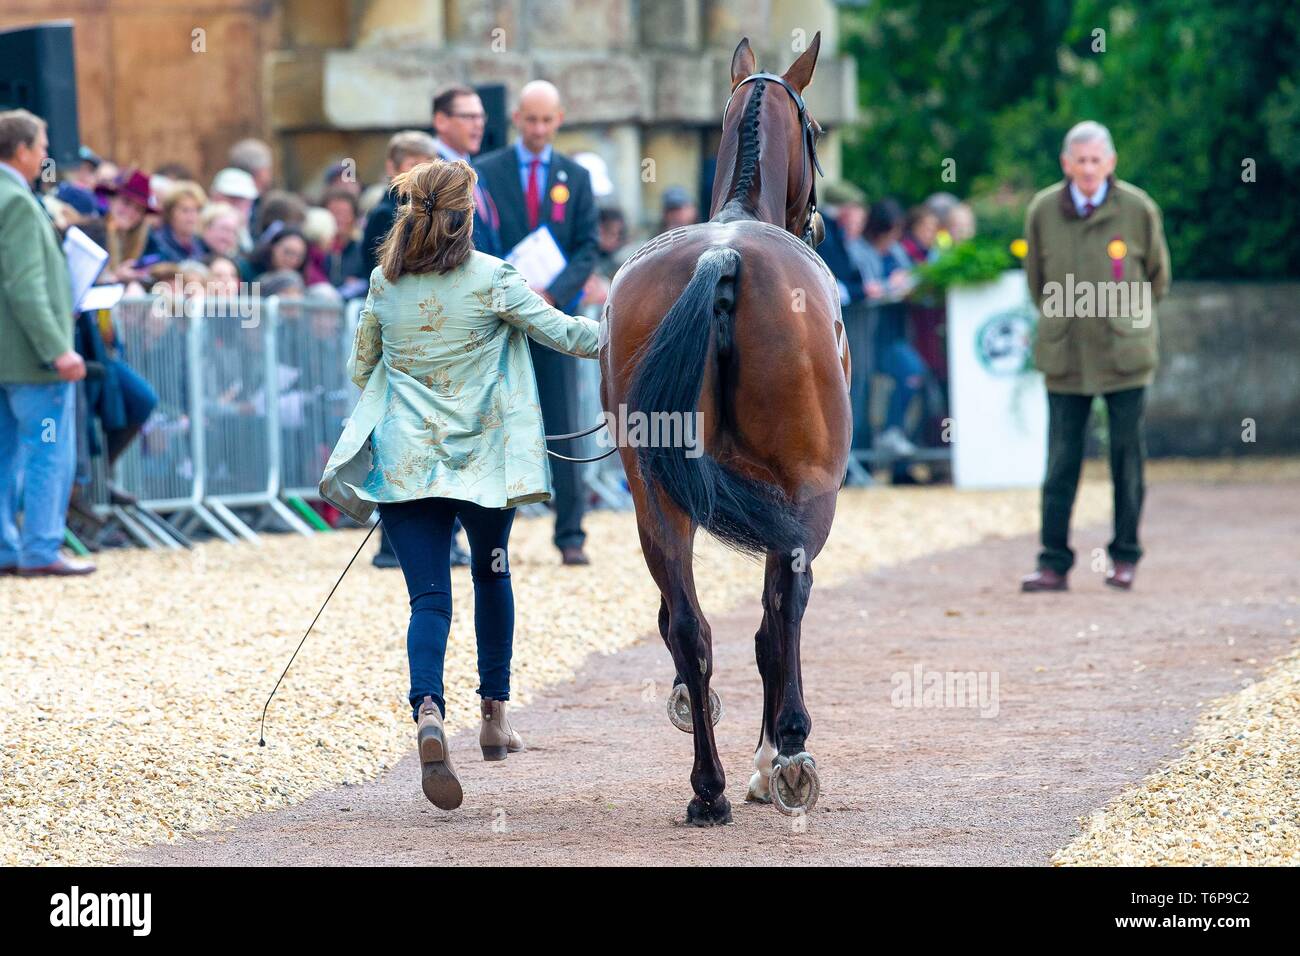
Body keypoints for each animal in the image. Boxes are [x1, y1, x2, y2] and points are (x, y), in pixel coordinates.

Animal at [600, 33, 852, 826]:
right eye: (817, 130)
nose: (820, 219)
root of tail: (724, 257)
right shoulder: (793, 498)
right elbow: (777, 622)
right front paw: (775, 756)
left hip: (654, 495)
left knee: (688, 623)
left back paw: (706, 786)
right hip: (807, 492)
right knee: (780, 614)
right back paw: (787, 754)